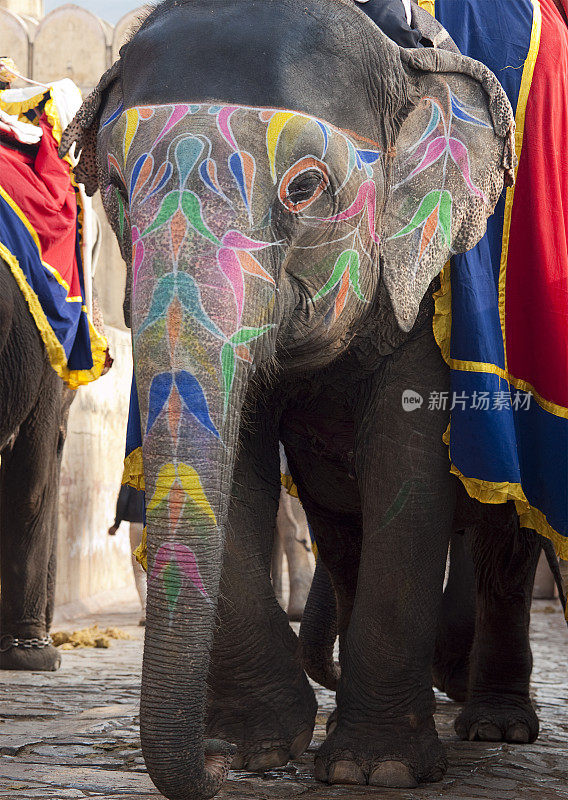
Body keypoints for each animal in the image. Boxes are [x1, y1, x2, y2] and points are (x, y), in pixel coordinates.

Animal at [60, 3, 516, 796]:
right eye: (112, 184)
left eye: (304, 189)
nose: (209, 769)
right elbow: (240, 465)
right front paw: (254, 750)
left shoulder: (429, 282)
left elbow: (407, 469)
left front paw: (376, 769)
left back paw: (493, 724)